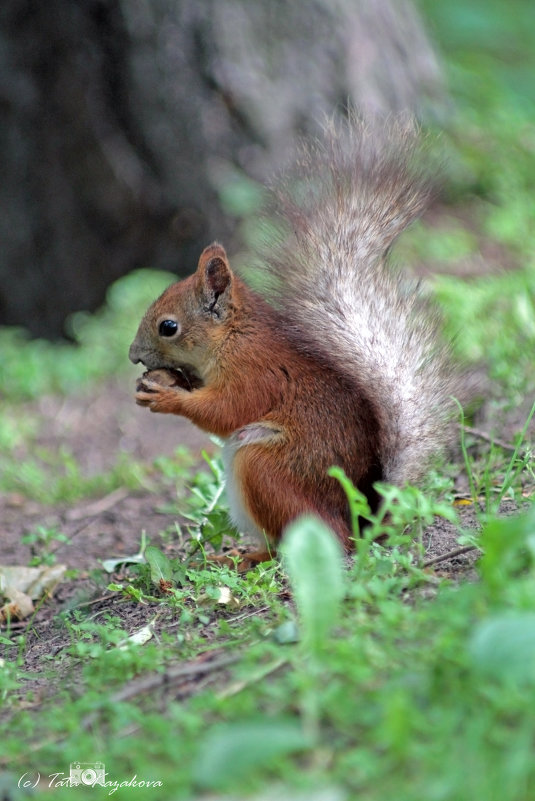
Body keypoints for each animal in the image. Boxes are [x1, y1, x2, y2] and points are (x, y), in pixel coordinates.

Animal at [129, 119, 460, 556]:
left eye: (169, 327)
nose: (133, 355)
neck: (233, 337)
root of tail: (356, 527)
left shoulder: (255, 373)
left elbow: (225, 412)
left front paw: (166, 398)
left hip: (263, 466)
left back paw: (251, 556)